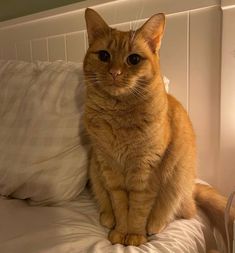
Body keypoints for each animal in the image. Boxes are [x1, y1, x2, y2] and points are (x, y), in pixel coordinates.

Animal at [83, 7, 234, 249]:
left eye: (134, 59)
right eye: (104, 56)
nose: (115, 72)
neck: (119, 115)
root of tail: (191, 188)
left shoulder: (145, 171)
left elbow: (137, 209)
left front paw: (134, 235)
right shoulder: (110, 169)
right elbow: (120, 205)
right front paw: (120, 232)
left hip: (177, 180)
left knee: (182, 211)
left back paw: (155, 223)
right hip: (94, 169)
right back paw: (107, 217)